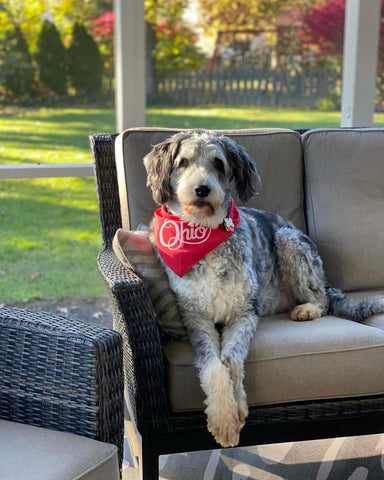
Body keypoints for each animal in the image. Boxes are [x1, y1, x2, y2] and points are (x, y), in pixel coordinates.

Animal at [143, 130, 384, 446]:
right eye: (183, 162)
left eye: (218, 163)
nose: (202, 189)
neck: (204, 236)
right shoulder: (196, 319)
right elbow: (213, 365)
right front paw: (223, 420)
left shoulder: (245, 313)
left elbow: (231, 359)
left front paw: (237, 408)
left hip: (288, 240)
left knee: (322, 299)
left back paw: (306, 310)